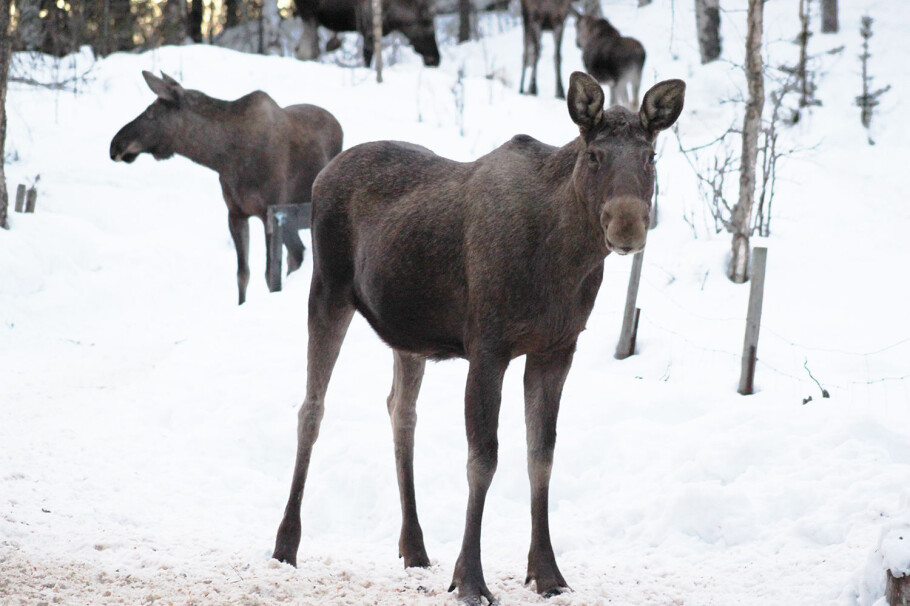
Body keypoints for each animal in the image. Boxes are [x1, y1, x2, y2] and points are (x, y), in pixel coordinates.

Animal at [110, 71, 343, 305]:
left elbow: (269, 274)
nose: (115, 145)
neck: (224, 157)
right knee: (295, 256)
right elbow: (242, 274)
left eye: (150, 113)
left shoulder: (270, 212)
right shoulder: (235, 213)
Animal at [271, 71, 685, 605]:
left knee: (401, 412)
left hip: (408, 334)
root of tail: (323, 174)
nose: (628, 226)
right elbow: (482, 460)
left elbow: (541, 455)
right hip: (328, 290)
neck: (564, 260)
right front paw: (470, 579)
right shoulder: (488, 347)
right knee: (311, 408)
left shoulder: (556, 349)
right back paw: (286, 544)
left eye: (650, 156)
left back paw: (415, 547)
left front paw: (547, 573)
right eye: (594, 155)